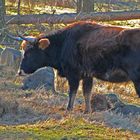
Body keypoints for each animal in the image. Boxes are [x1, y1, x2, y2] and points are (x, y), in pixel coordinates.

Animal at [9, 21, 139, 112]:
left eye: (29, 52)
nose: (20, 71)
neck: (64, 42)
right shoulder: (87, 75)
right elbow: (87, 93)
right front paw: (87, 111)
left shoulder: (73, 74)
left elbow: (72, 92)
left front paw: (69, 108)